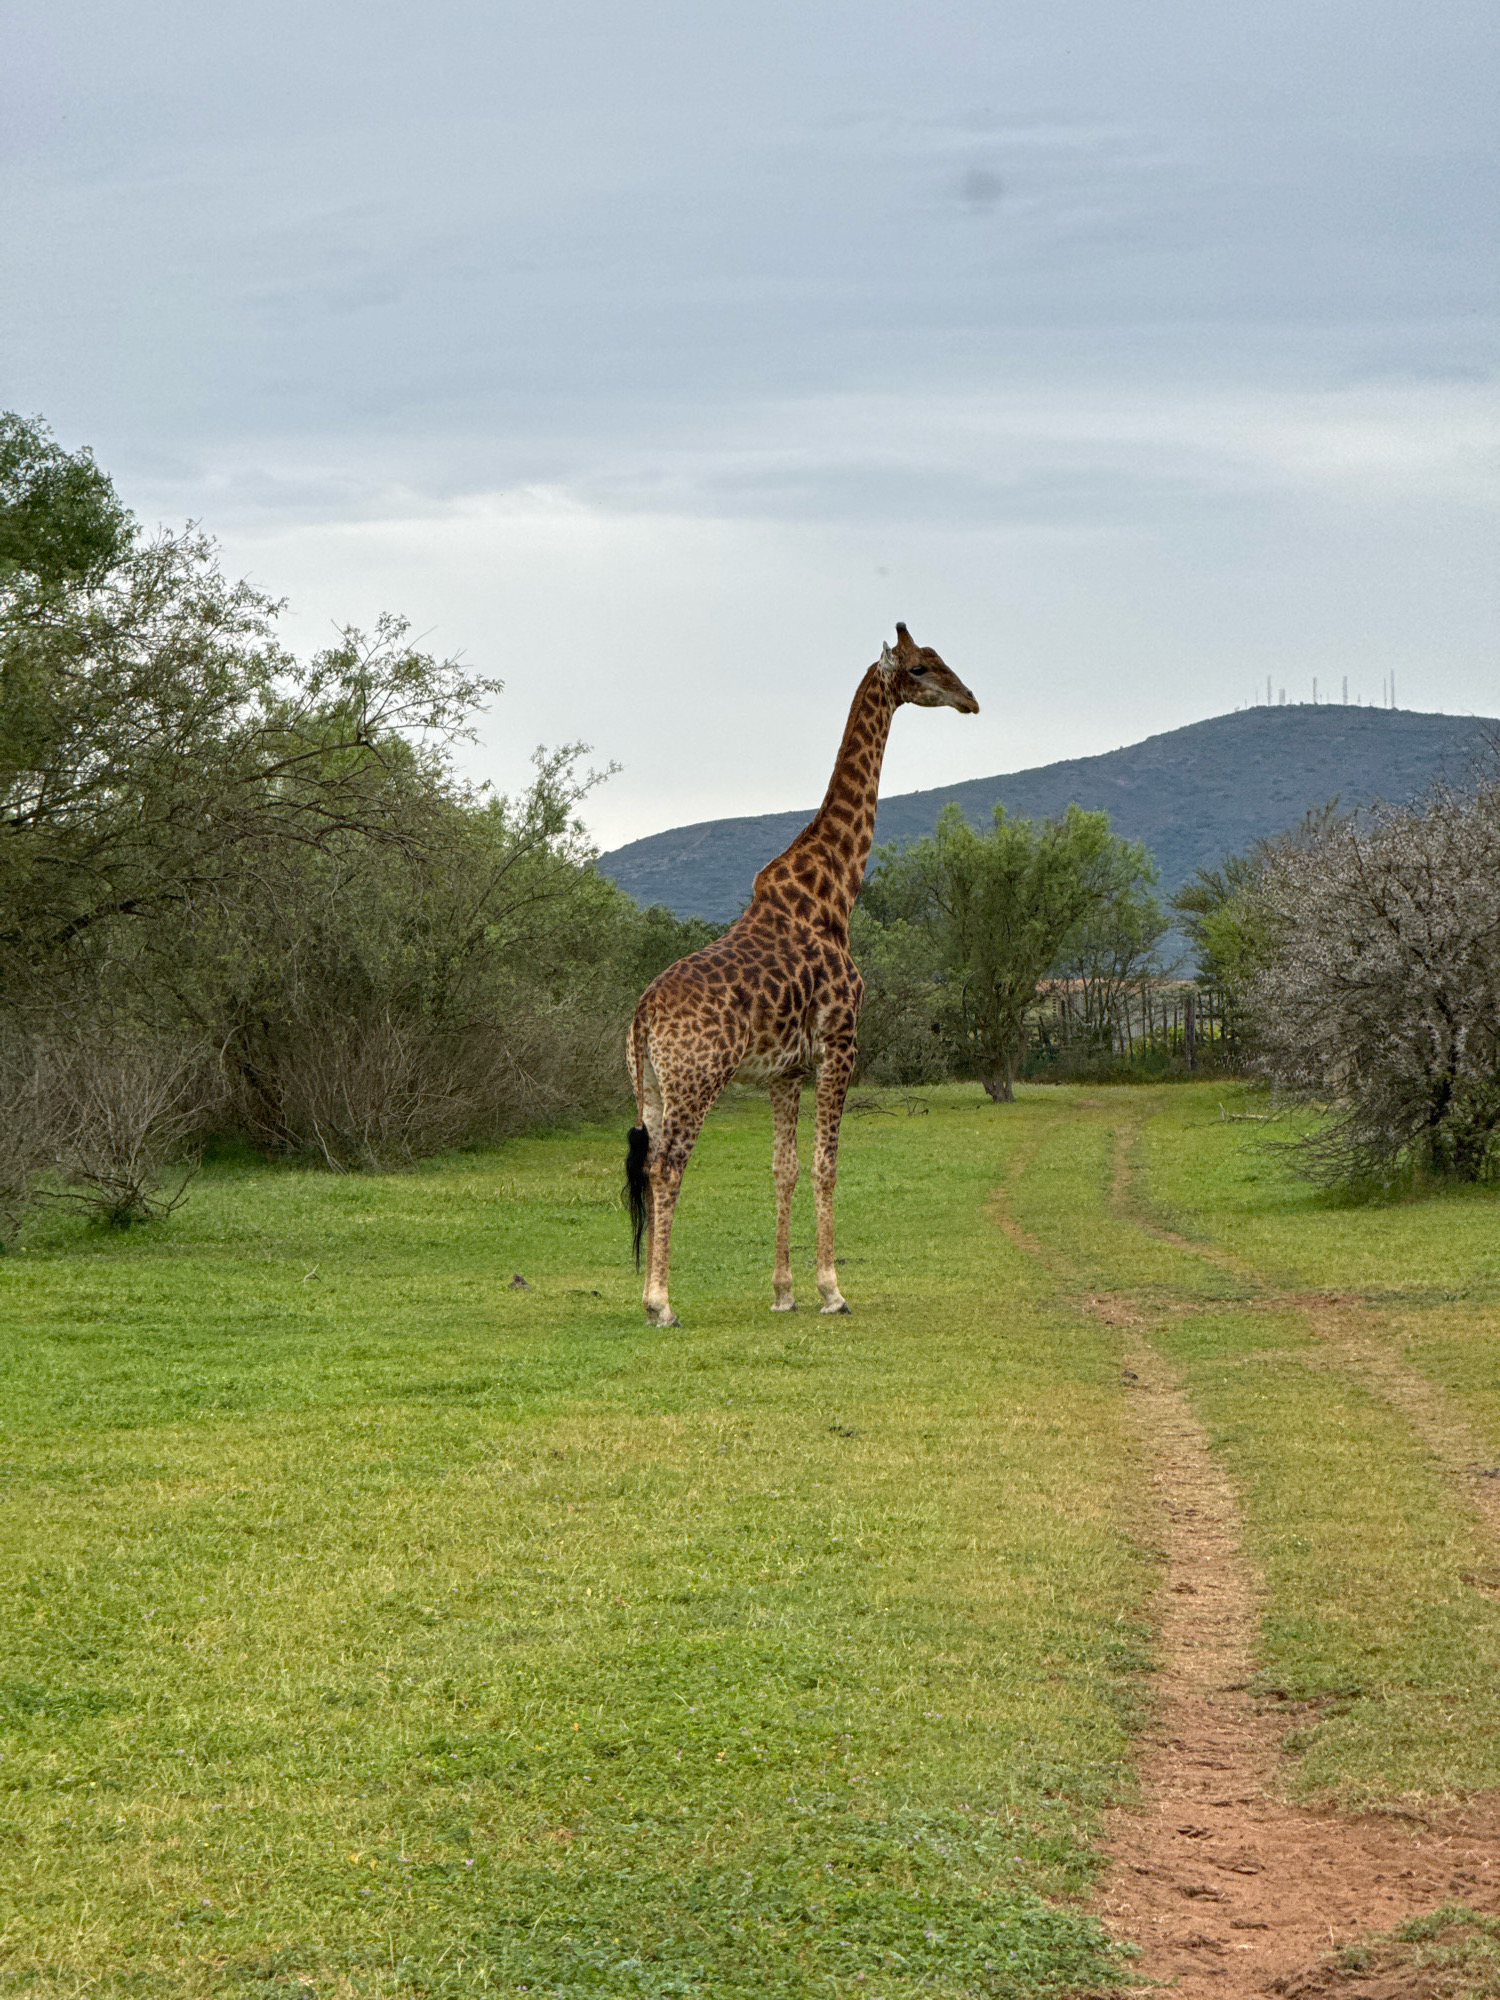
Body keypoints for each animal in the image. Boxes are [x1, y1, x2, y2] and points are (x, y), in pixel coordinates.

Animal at [623, 624, 979, 1326]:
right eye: (922, 668)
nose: (970, 699)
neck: (835, 893)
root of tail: (643, 1014)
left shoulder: (784, 1069)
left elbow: (783, 1167)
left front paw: (784, 1291)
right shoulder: (841, 1041)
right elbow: (826, 1163)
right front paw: (832, 1290)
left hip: (646, 1084)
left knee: (649, 1165)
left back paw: (653, 1295)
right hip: (695, 1080)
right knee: (670, 1166)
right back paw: (661, 1303)